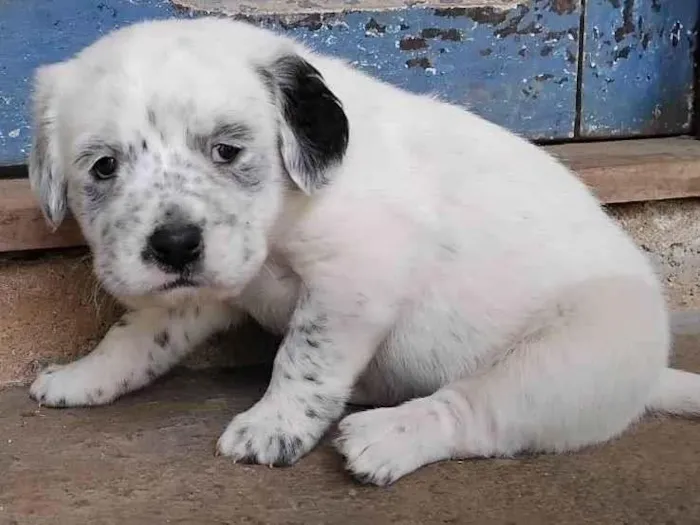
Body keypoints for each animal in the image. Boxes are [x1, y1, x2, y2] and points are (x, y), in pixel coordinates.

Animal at [27, 17, 700, 484]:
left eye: (226, 150)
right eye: (104, 166)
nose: (173, 246)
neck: (282, 221)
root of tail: (648, 379)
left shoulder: (352, 281)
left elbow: (303, 359)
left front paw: (273, 426)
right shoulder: (203, 287)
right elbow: (137, 335)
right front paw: (85, 376)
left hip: (568, 356)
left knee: (476, 412)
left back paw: (389, 436)